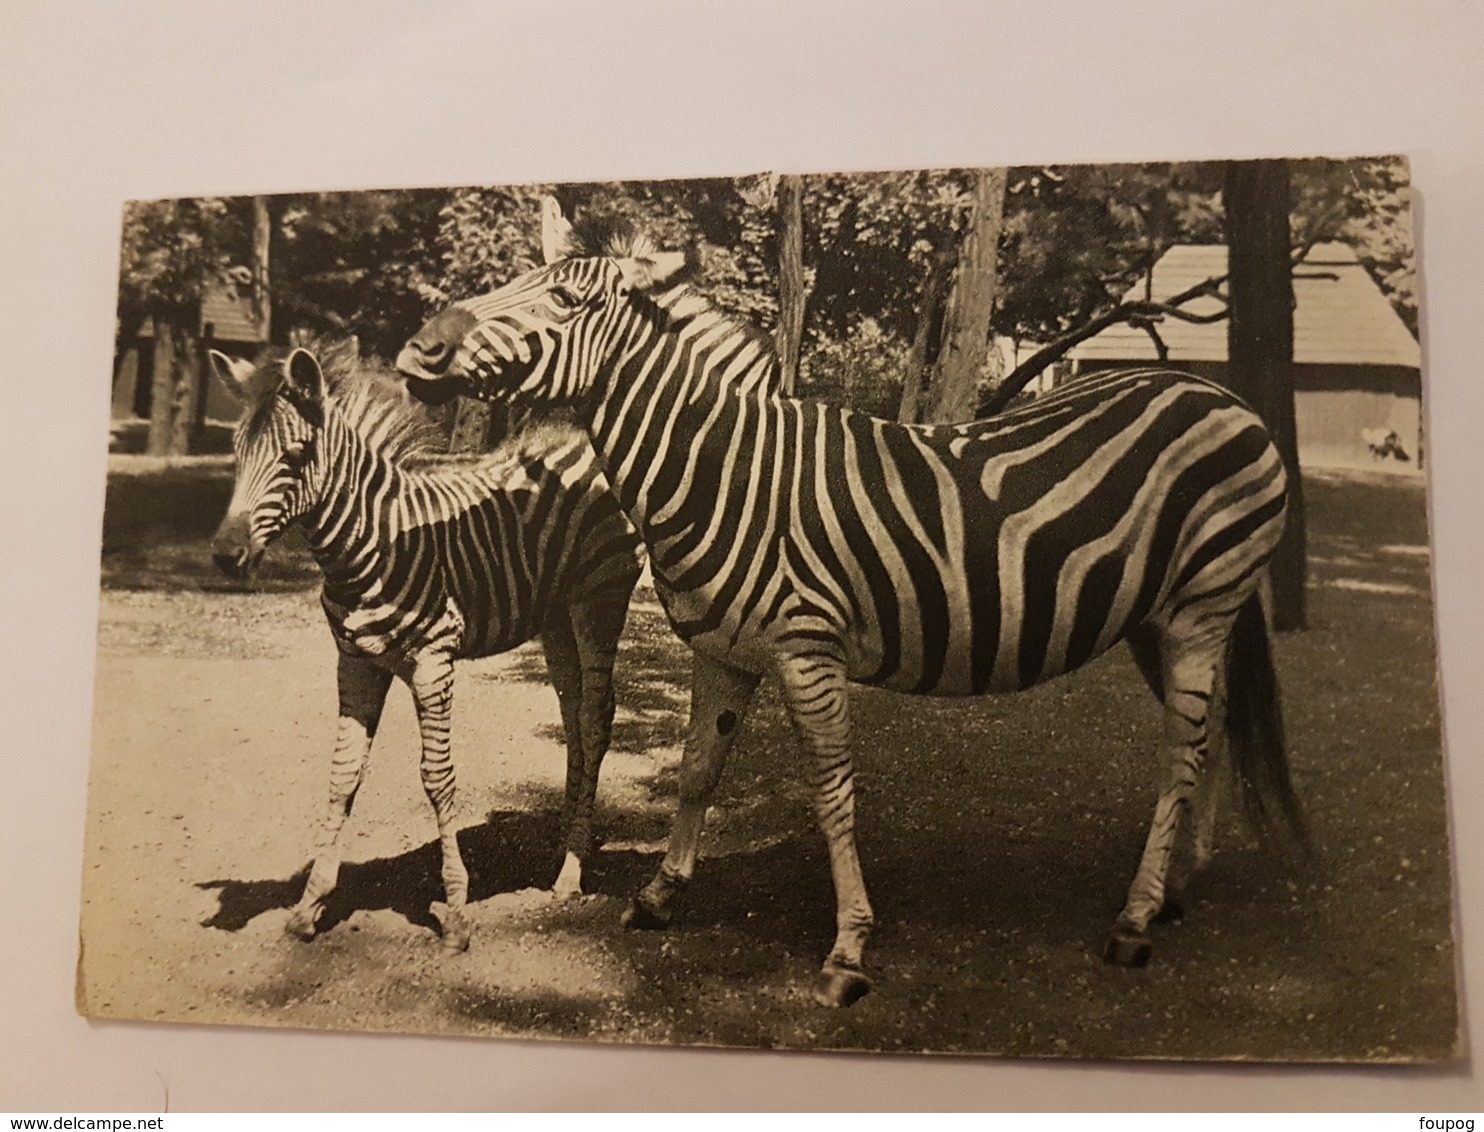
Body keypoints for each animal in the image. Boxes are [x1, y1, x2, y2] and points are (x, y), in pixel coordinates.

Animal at [210, 338, 644, 949]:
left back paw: (572, 871)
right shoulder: (355, 662)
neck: (369, 543)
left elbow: (438, 779)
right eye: (235, 452)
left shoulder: (434, 661)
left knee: (597, 715)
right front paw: (309, 904)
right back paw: (565, 837)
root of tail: (581, 435)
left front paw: (456, 910)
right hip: (554, 613)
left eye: (295, 455)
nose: (226, 556)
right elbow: (342, 775)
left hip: (599, 595)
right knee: (573, 713)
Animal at [397, 198, 1311, 1002]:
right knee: (1210, 735)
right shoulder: (722, 652)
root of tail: (1220, 395)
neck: (727, 472)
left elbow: (833, 794)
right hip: (1157, 618)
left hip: (1202, 603)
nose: (417, 348)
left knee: (1181, 752)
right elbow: (696, 772)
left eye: (565, 299)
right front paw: (660, 896)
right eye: (517, 277)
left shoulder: (809, 653)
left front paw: (847, 950)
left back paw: (1135, 917)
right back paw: (1180, 885)